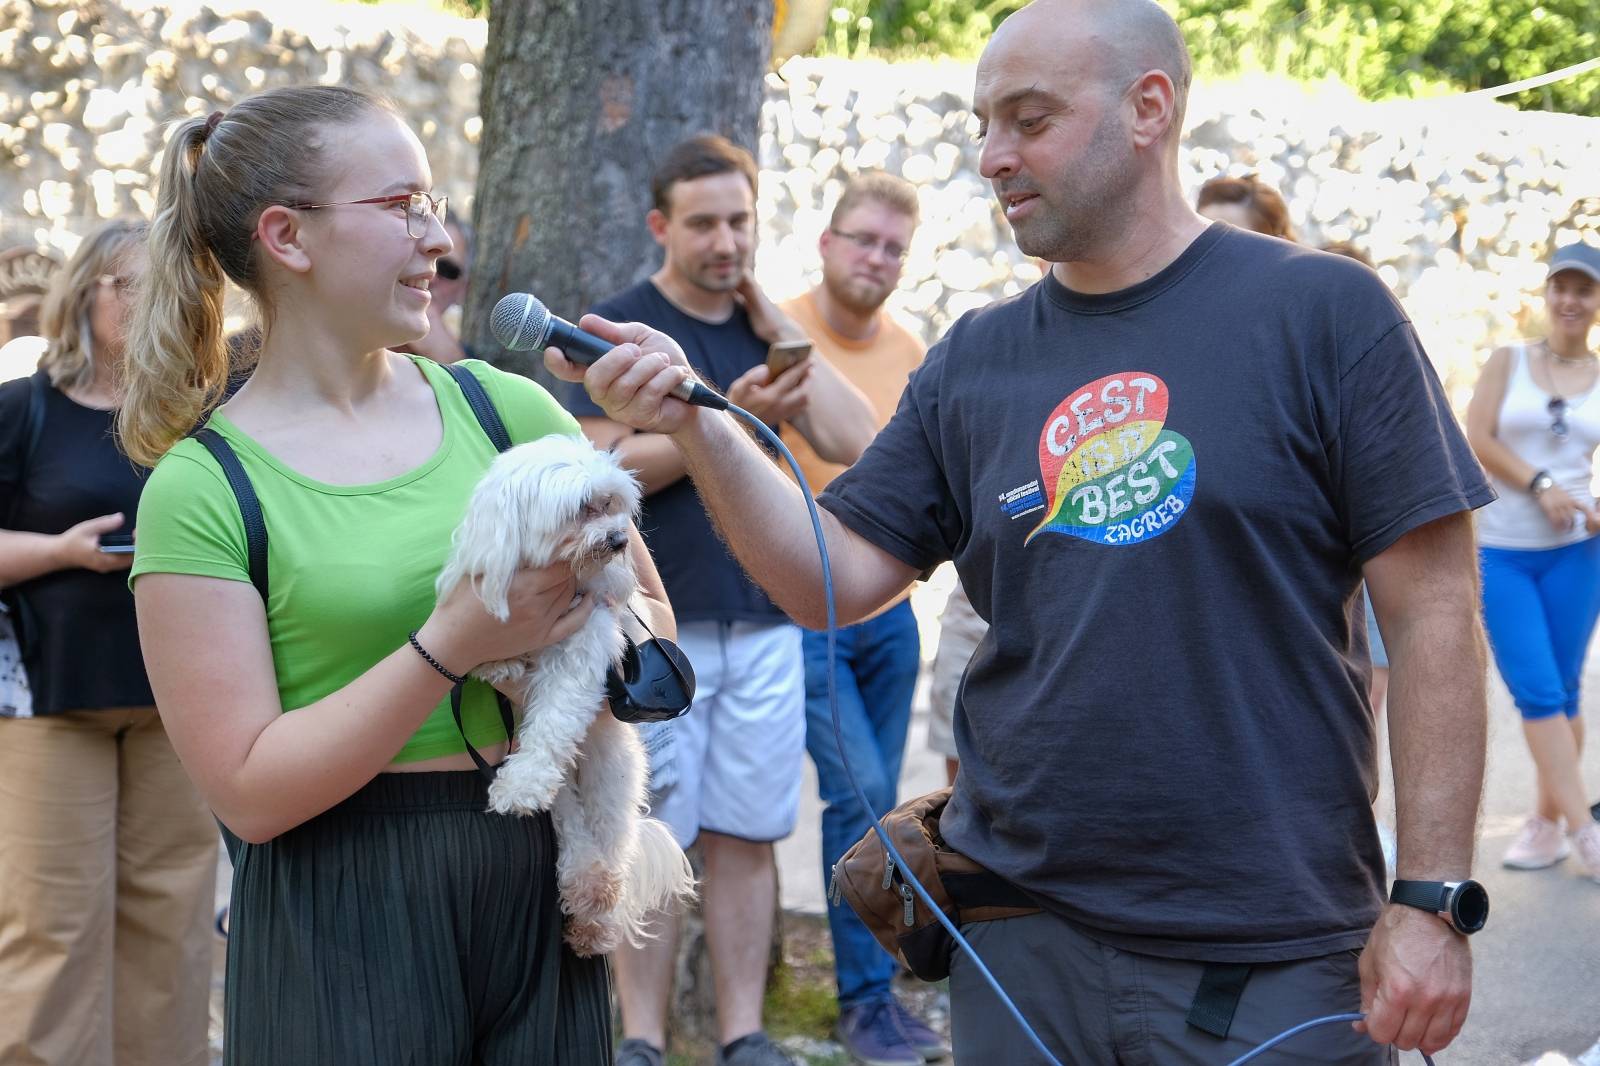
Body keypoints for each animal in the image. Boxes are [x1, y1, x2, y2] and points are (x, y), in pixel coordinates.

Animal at [438, 432, 694, 953]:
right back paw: (583, 882)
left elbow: (556, 715)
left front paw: (524, 780)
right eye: (581, 509)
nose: (620, 539)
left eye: (611, 503)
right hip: (571, 798)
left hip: (611, 774)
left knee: (611, 839)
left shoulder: (585, 640)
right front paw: (499, 659)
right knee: (571, 824)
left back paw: (596, 912)